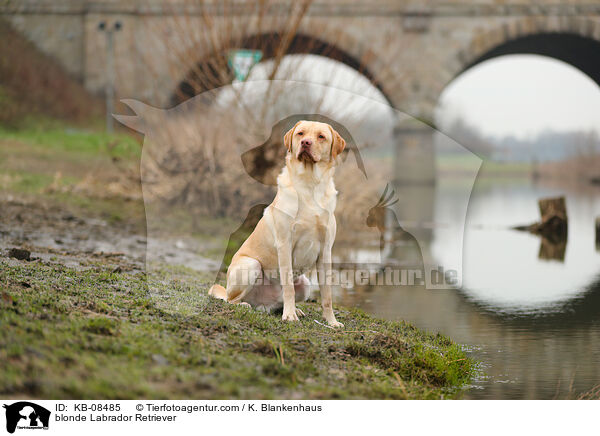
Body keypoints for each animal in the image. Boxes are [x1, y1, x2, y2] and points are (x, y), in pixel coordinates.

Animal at [209, 121, 344, 326]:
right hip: (250, 265)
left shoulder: (326, 250)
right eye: (301, 133)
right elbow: (288, 285)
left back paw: (294, 309)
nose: (305, 142)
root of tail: (263, 303)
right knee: (232, 299)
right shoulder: (284, 244)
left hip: (305, 283)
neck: (310, 184)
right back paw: (248, 305)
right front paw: (289, 316)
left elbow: (327, 295)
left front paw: (331, 322)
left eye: (321, 136)